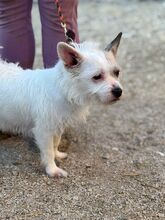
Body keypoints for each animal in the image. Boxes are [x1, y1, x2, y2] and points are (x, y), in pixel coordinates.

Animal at [0, 32, 122, 177]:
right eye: (97, 76)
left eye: (117, 72)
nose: (118, 91)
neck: (64, 90)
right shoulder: (44, 131)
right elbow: (48, 151)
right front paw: (52, 170)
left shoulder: (58, 126)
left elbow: (55, 144)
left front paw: (57, 154)